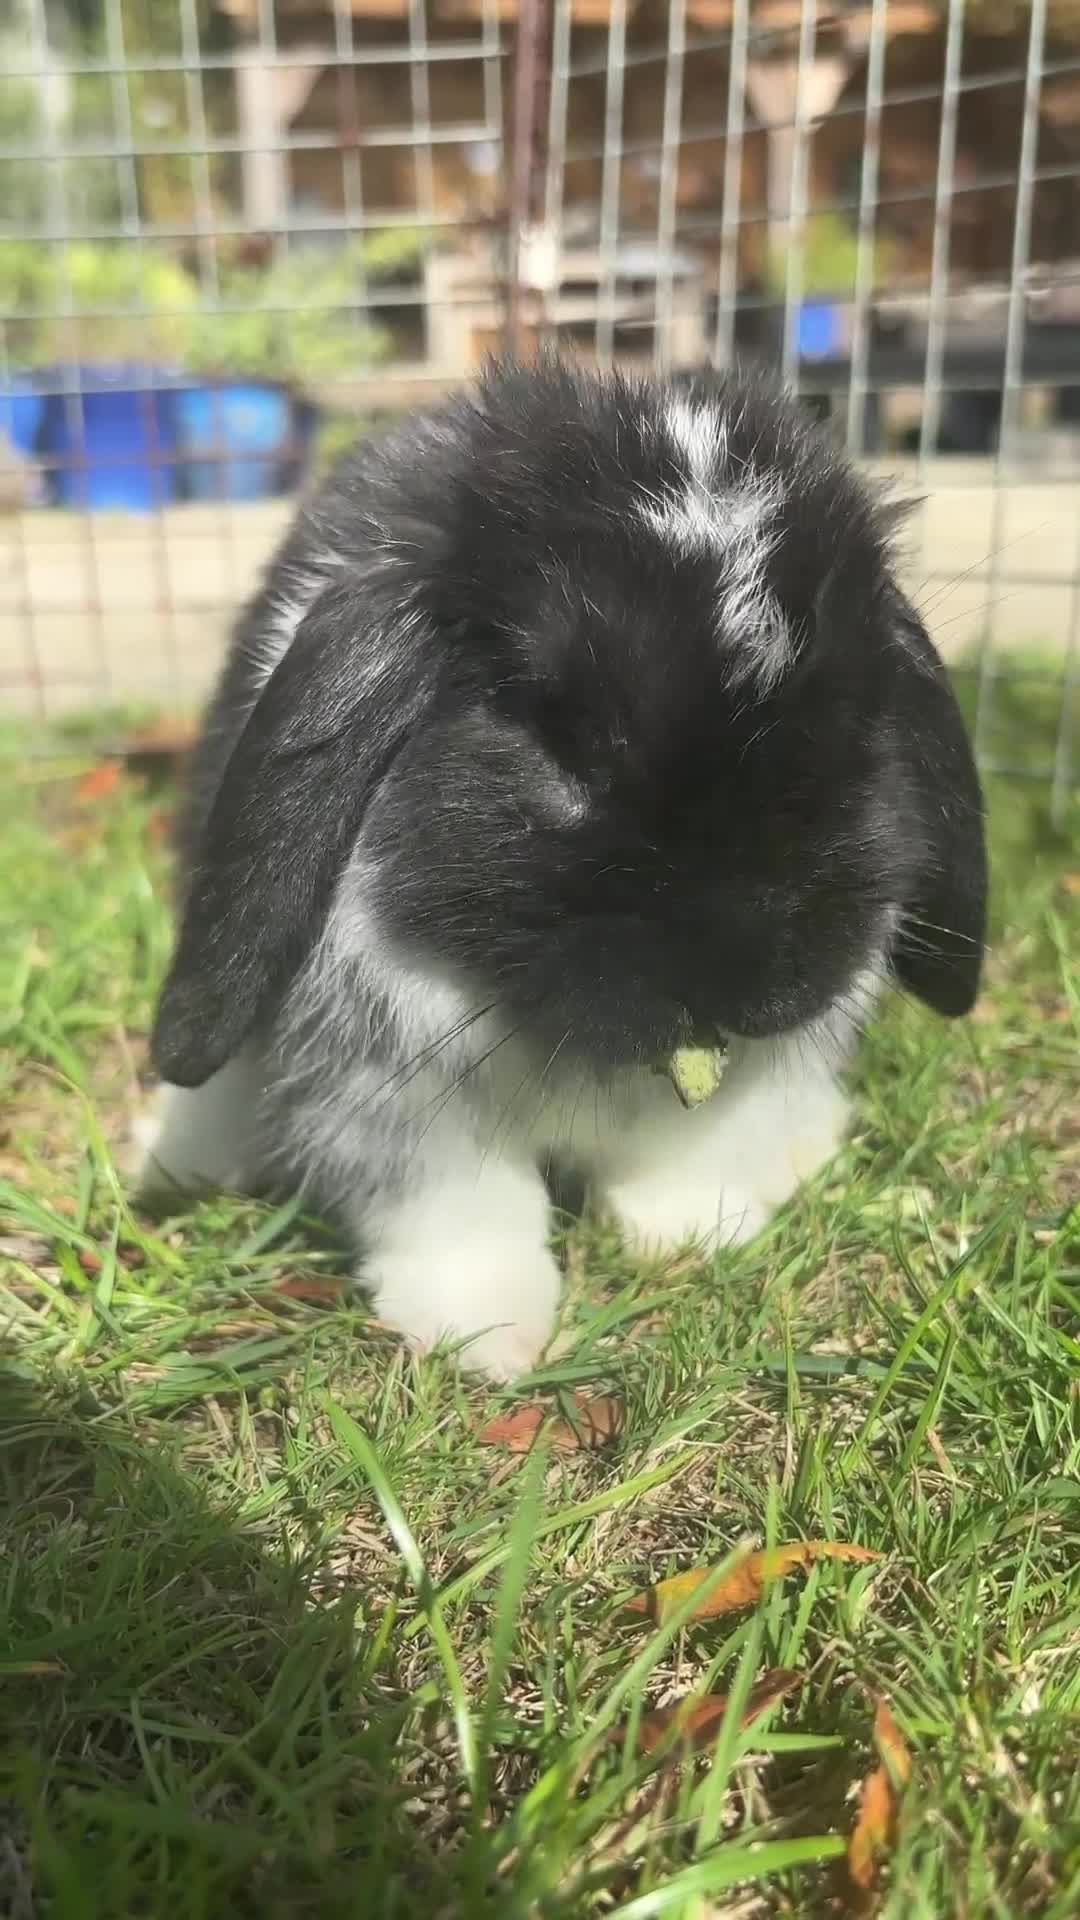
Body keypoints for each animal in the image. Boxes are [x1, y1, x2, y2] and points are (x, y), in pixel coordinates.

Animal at [139, 358, 986, 1379]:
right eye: (564, 748)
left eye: (856, 732)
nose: (738, 971)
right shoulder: (395, 1098)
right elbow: (463, 1214)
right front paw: (487, 1339)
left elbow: (683, 1162)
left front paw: (694, 1236)